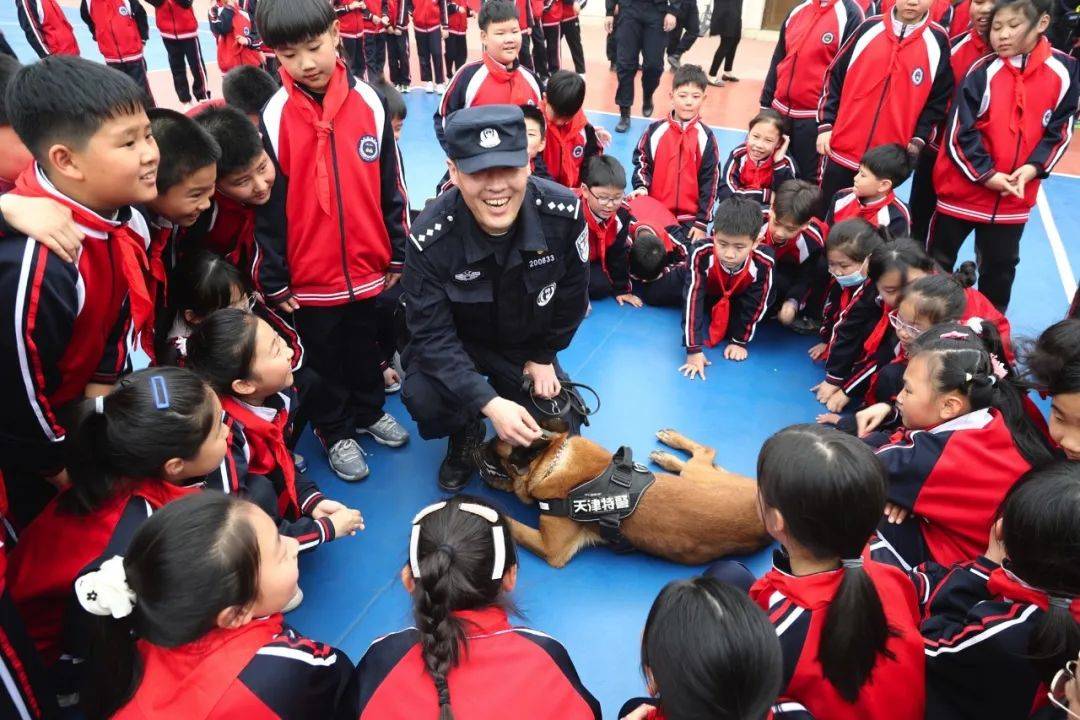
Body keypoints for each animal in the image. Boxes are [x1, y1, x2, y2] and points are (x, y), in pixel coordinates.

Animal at [481, 427, 768, 569]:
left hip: (696, 474)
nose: (476, 446)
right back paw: (666, 455)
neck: (553, 460)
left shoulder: (551, 549)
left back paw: (670, 445)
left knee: (706, 451)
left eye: (493, 449)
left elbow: (512, 524)